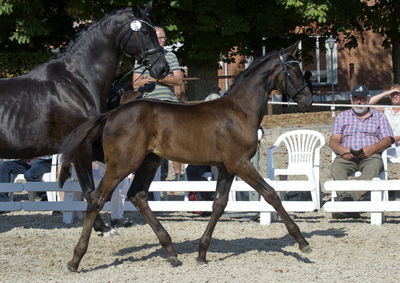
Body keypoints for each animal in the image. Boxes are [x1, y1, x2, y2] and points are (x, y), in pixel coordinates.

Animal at [0, 3, 169, 232]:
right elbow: (89, 190)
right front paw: (102, 229)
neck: (77, 81)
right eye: (144, 31)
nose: (163, 68)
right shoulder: (81, 147)